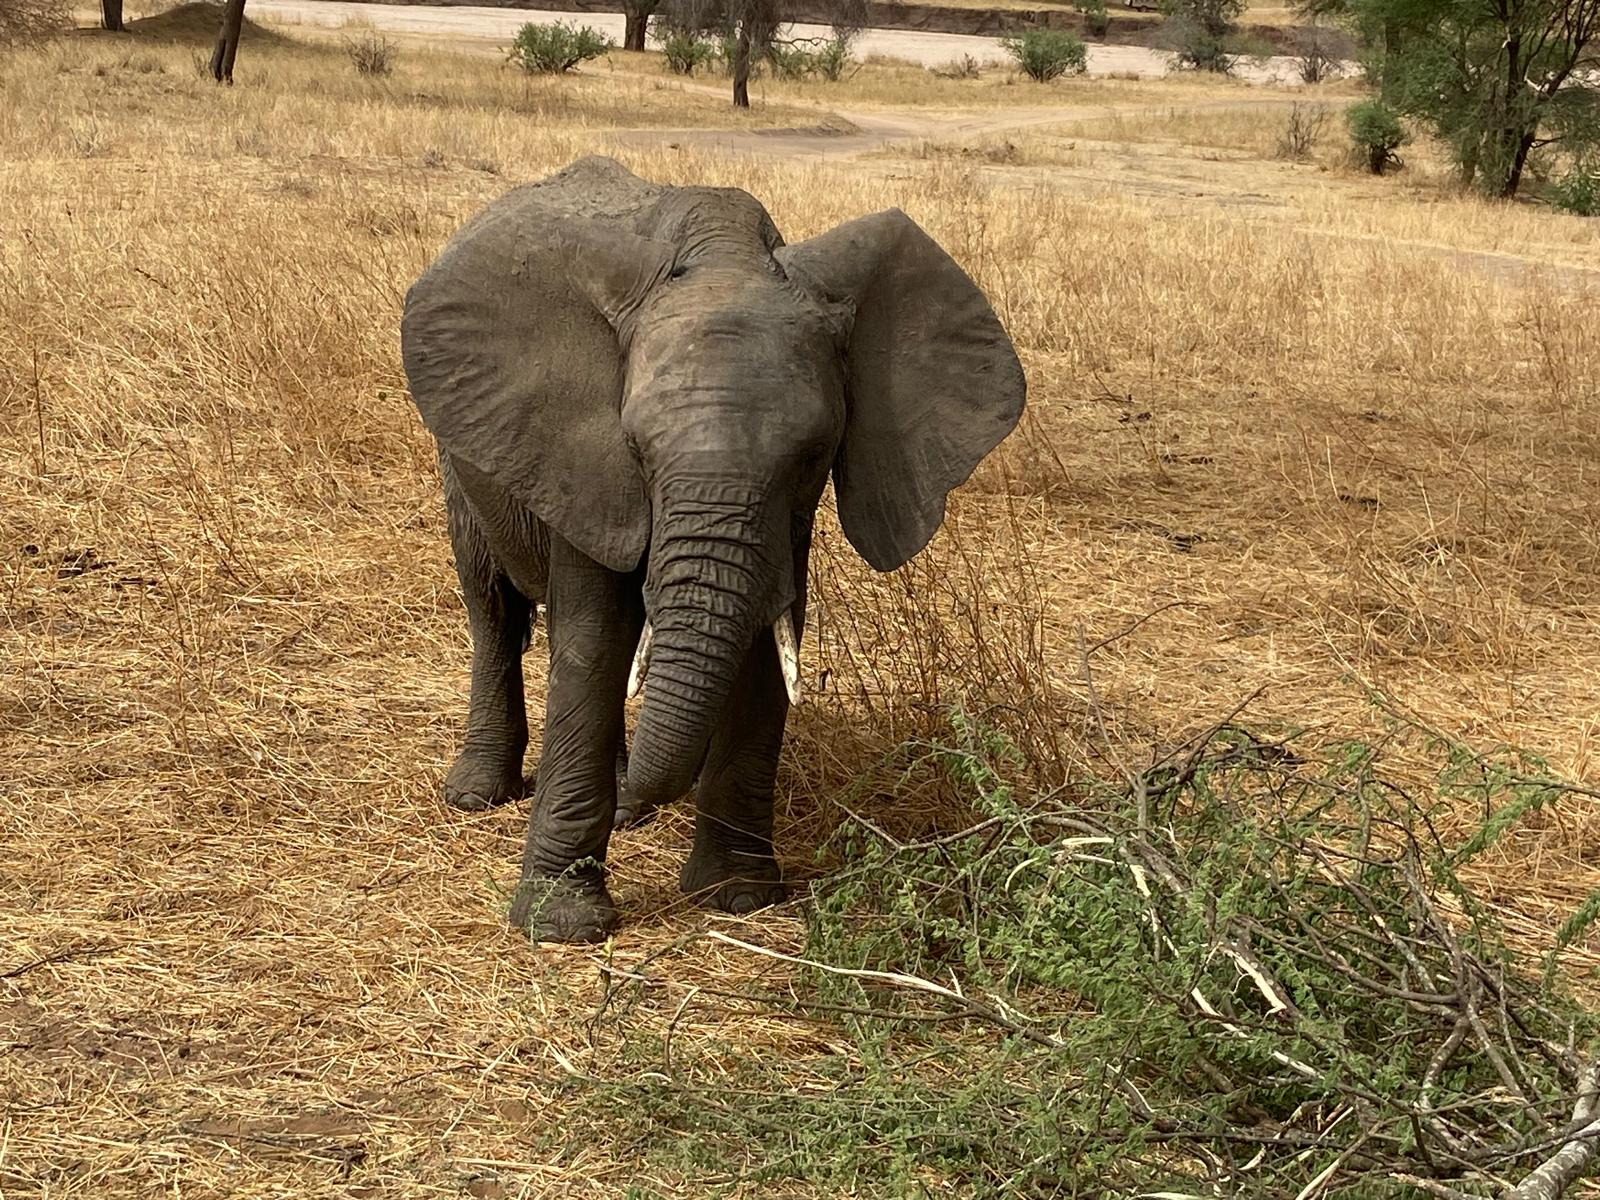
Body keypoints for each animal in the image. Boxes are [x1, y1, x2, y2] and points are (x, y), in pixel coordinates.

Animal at [401, 156, 1026, 943]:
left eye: (814, 455)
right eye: (635, 448)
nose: (636, 808)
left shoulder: (786, 520)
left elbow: (763, 648)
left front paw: (736, 897)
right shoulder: (584, 462)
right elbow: (594, 644)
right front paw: (562, 924)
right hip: (461, 454)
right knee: (492, 608)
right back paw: (482, 794)